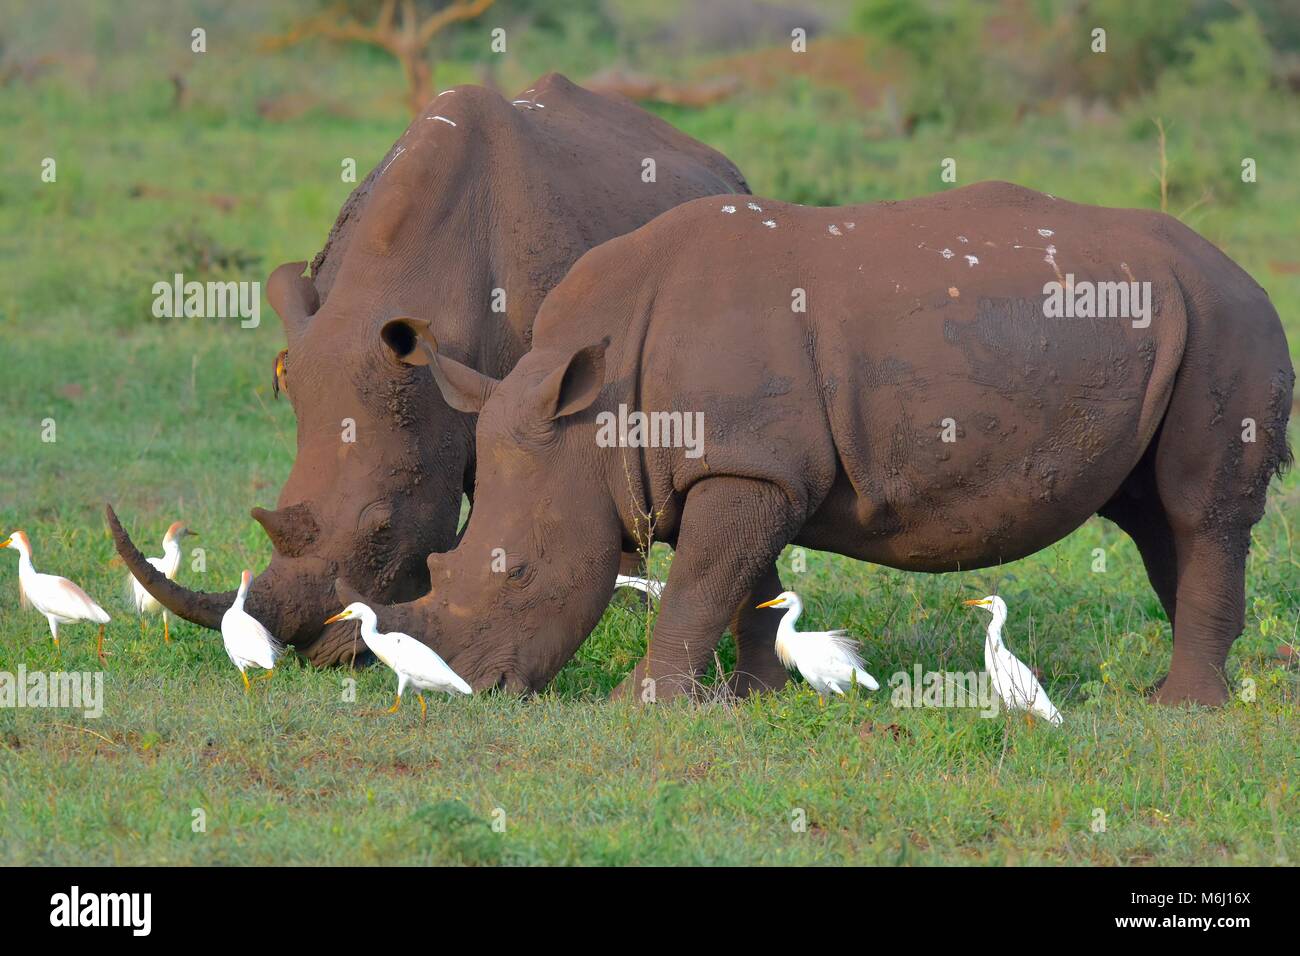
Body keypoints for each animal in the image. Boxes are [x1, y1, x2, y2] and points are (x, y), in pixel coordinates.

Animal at [351, 183, 1294, 707]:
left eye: (519, 575)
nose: (470, 689)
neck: (593, 419)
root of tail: (1242, 272)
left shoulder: (748, 466)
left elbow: (702, 582)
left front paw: (641, 708)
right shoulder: (751, 462)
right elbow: (745, 584)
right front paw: (751, 698)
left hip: (1229, 322)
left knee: (1196, 512)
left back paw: (1182, 711)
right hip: (1183, 322)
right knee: (1157, 521)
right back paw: (1181, 690)